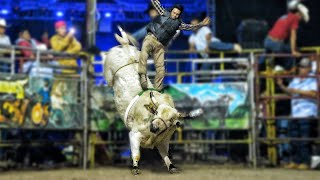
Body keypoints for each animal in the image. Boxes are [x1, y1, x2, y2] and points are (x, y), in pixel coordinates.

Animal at [102, 27, 201, 174]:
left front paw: (172, 166)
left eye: (170, 120)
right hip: (109, 75)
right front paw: (135, 168)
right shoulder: (134, 134)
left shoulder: (164, 140)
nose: (154, 127)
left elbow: (165, 154)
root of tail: (125, 45)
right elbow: (136, 154)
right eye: (156, 113)